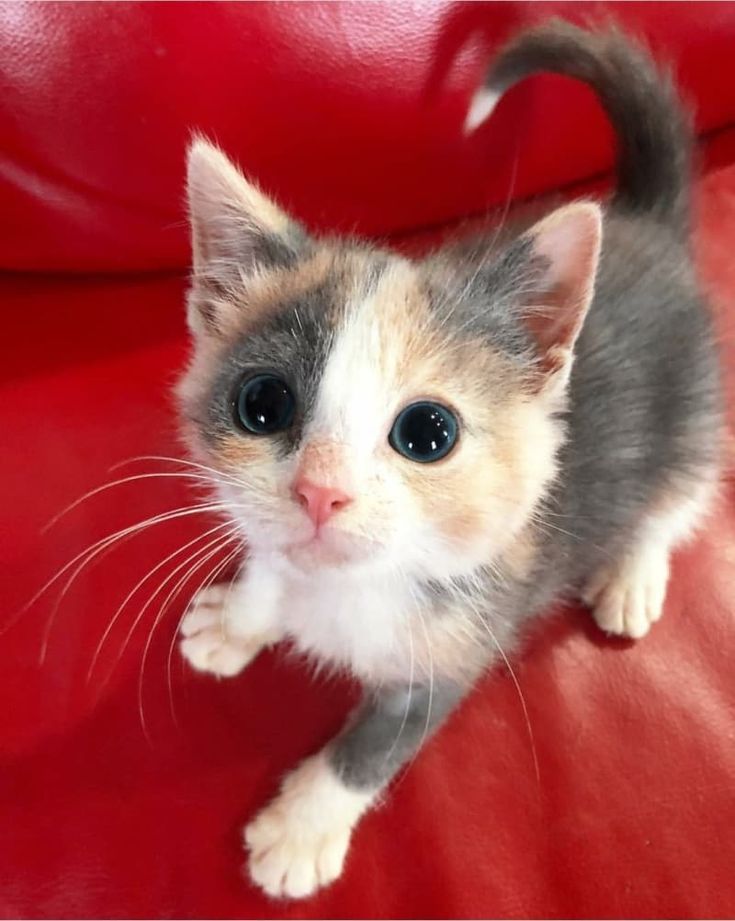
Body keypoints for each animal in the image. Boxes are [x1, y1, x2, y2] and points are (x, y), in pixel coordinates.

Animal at [177, 19, 720, 900]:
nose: (321, 492)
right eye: (262, 404)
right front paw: (239, 616)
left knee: (675, 493)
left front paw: (301, 828)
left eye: (427, 433)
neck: (350, 589)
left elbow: (376, 744)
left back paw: (631, 573)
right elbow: (270, 564)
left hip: (696, 405)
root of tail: (645, 220)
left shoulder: (460, 645)